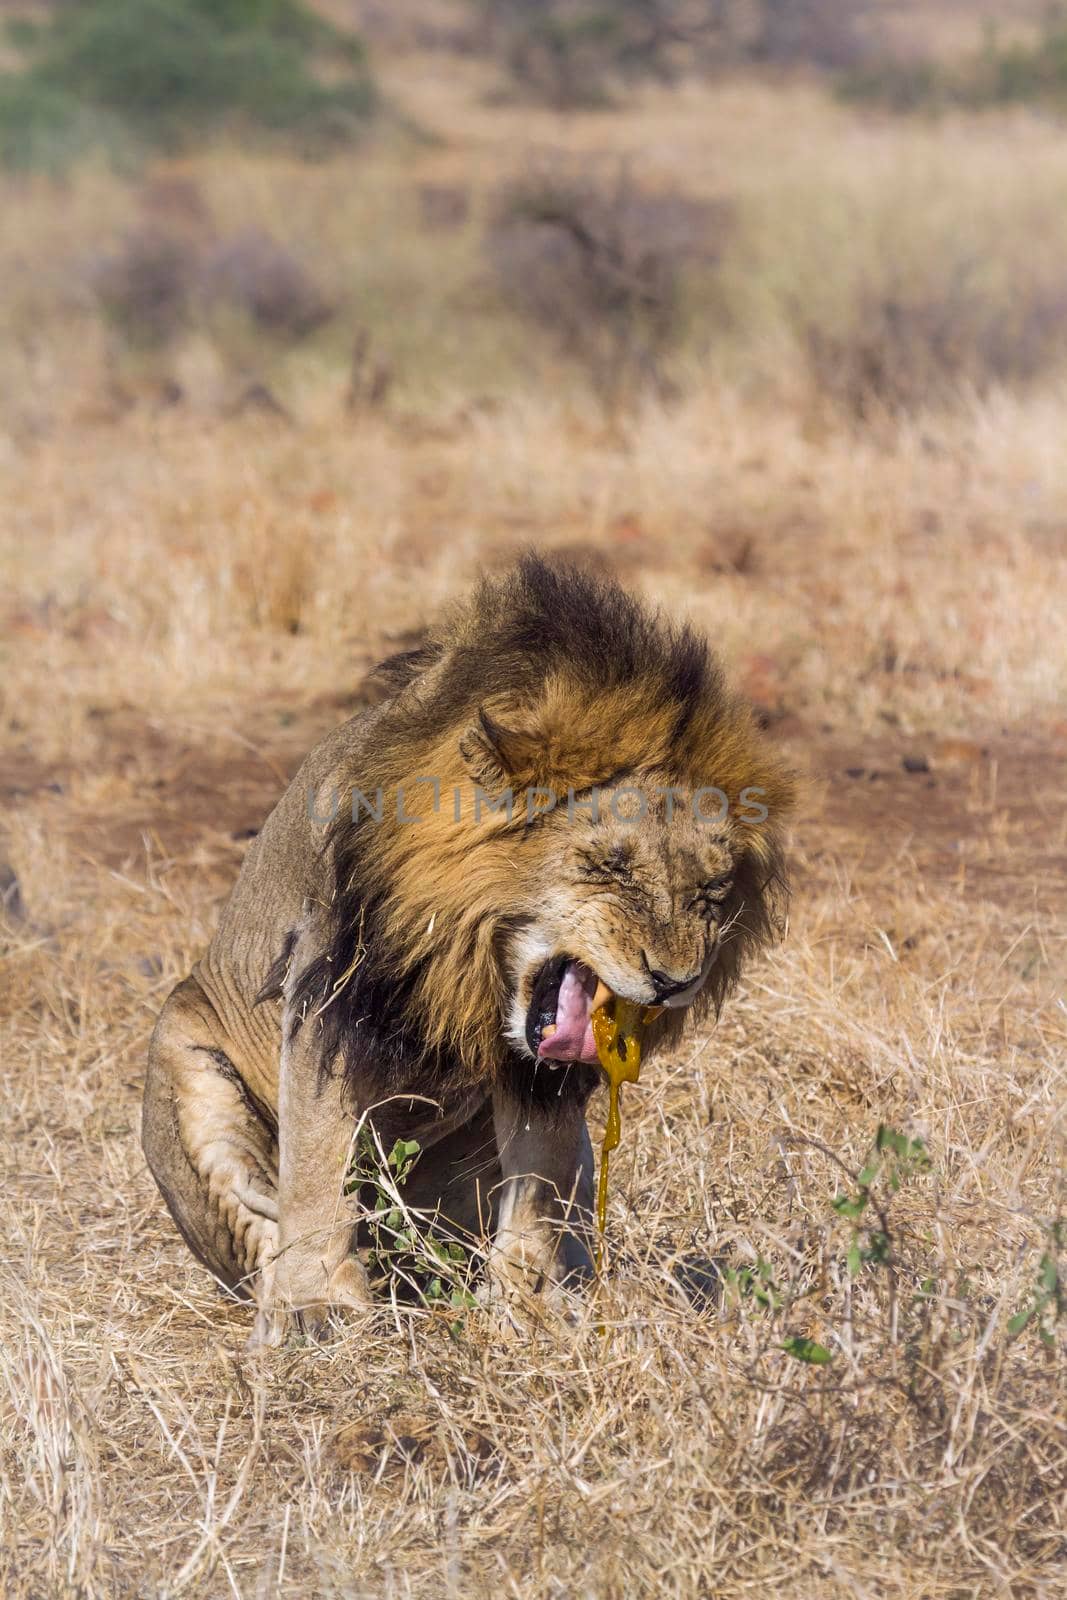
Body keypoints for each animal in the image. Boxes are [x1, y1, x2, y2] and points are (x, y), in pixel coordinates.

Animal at [139, 556, 793, 1344]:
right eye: (608, 867)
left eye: (713, 890)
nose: (674, 981)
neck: (474, 956)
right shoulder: (329, 997)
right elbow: (317, 1161)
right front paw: (311, 1309)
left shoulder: (539, 1073)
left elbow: (540, 1177)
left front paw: (531, 1309)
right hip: (184, 1059)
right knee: (259, 1224)